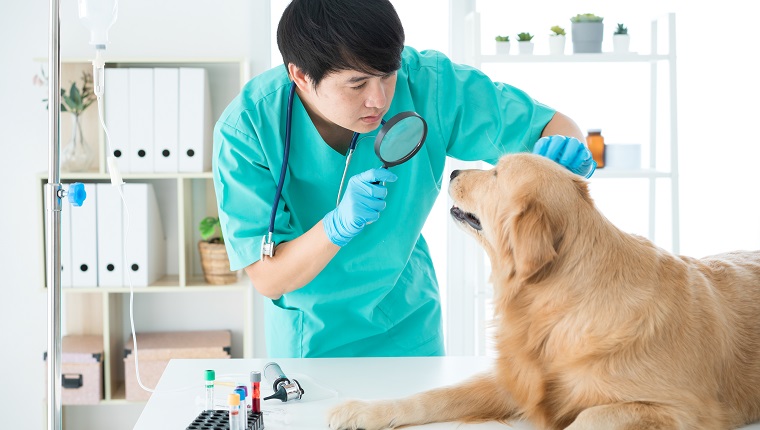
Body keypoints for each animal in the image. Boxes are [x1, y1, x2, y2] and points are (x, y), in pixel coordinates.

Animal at [330, 153, 760, 428]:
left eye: (497, 175)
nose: (452, 171)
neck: (558, 303)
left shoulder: (681, 409)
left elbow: (589, 415)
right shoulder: (517, 378)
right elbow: (433, 395)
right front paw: (361, 409)